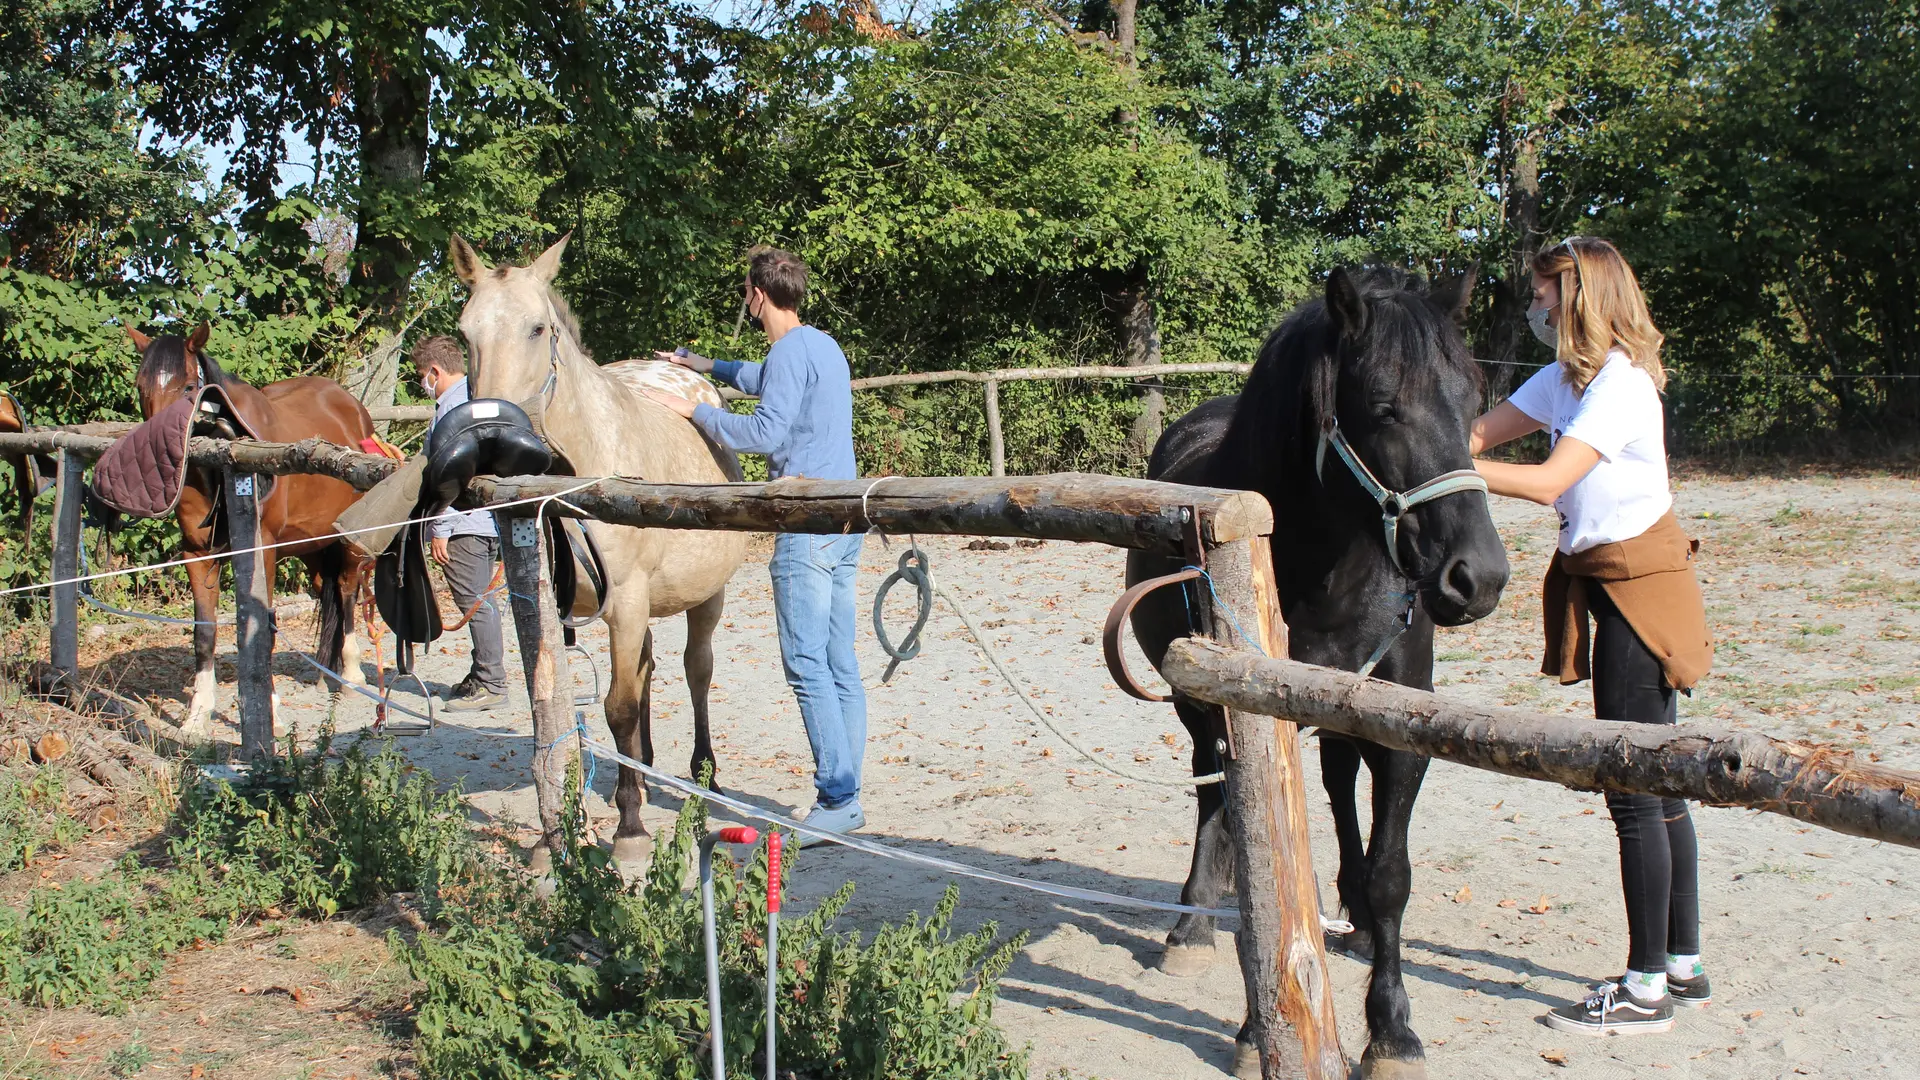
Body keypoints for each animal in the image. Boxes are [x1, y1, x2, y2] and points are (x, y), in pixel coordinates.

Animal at [125, 322, 376, 734]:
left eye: (188, 387)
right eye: (141, 386)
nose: (159, 452)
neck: (224, 463)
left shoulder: (263, 552)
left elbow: (263, 630)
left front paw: (270, 713)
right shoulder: (197, 554)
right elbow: (204, 633)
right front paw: (197, 716)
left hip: (347, 540)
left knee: (346, 590)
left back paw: (352, 675)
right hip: (311, 544)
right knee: (328, 591)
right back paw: (327, 674)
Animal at [451, 231, 748, 860]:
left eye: (538, 328)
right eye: (466, 332)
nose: (488, 441)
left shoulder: (628, 604)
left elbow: (618, 707)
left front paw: (630, 830)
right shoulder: (552, 609)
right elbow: (553, 711)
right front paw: (556, 834)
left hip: (703, 596)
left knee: (695, 670)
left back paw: (701, 774)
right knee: (647, 671)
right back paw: (642, 772)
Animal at [1121, 265, 1512, 1068]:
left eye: (1473, 401)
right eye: (1384, 407)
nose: (1479, 577)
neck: (1329, 576)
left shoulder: (1400, 730)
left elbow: (1392, 874)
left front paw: (1392, 1029)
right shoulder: (1246, 714)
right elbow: (1266, 873)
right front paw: (1254, 1029)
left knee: (1336, 786)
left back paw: (1351, 909)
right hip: (1196, 710)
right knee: (1213, 802)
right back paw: (1193, 922)